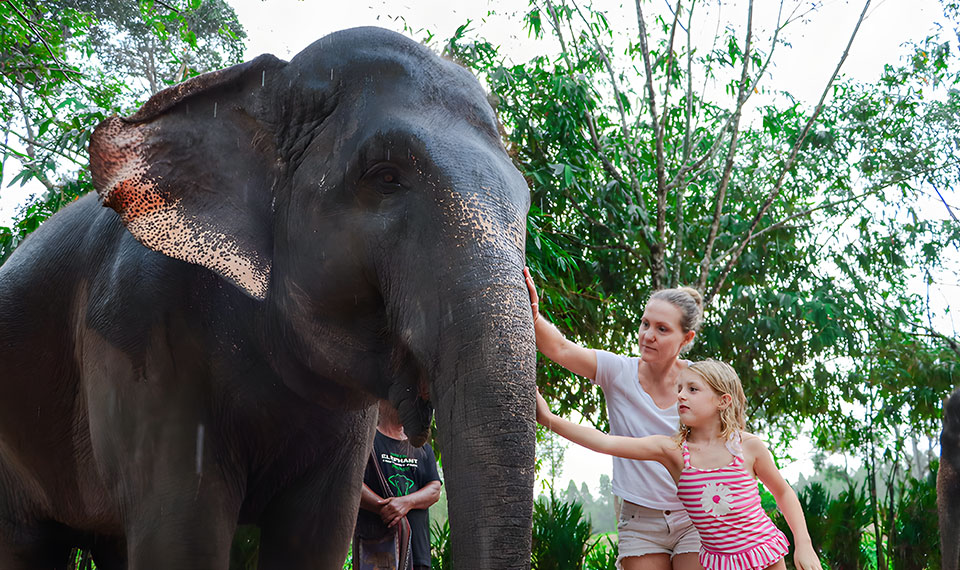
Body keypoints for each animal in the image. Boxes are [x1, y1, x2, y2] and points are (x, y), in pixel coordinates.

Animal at [0, 26, 536, 570]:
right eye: (386, 177)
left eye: (526, 198)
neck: (261, 87)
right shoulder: (144, 329)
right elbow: (182, 535)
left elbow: (316, 537)